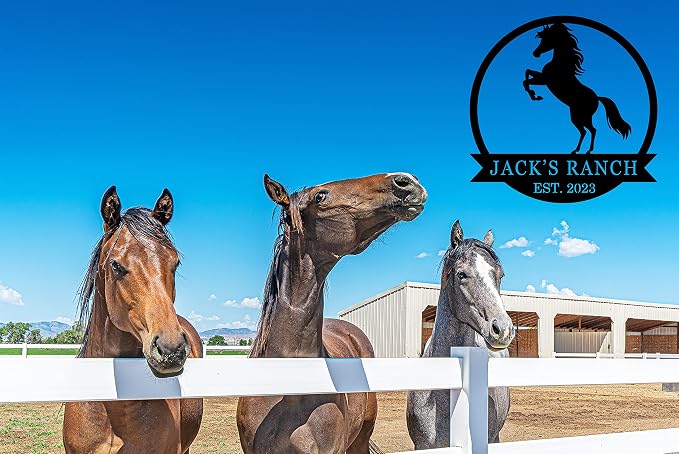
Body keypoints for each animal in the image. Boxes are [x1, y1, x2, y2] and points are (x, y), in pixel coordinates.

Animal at [522, 23, 631, 154]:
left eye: (548, 38)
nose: (535, 53)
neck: (561, 65)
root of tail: (597, 98)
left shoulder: (545, 80)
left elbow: (526, 79)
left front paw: (535, 95)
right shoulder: (543, 79)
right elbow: (527, 74)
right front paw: (535, 95)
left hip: (580, 116)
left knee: (589, 130)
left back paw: (583, 150)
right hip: (581, 116)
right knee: (587, 130)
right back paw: (581, 150)